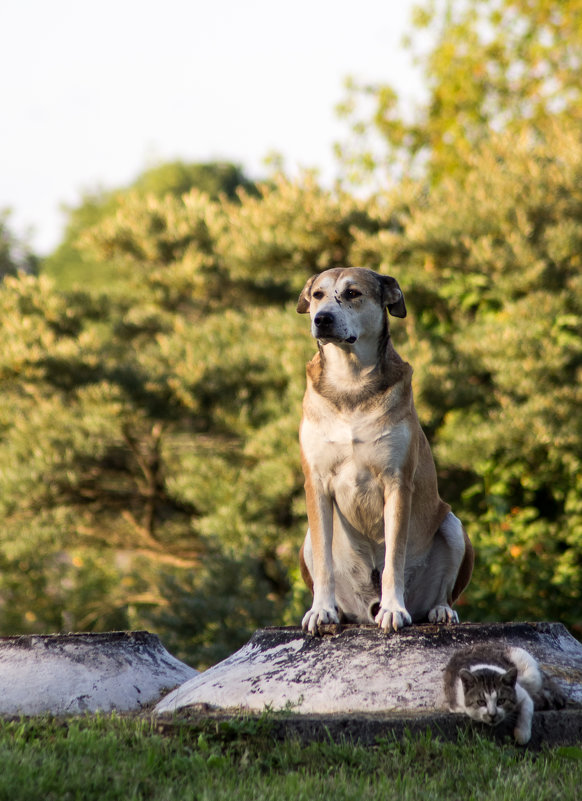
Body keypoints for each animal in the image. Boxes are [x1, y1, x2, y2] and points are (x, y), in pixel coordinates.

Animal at [296, 268, 474, 632]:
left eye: (352, 293)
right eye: (317, 295)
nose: (322, 319)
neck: (349, 382)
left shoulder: (397, 482)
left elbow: (394, 556)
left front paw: (394, 609)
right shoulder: (316, 483)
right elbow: (323, 560)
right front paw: (321, 610)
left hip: (452, 524)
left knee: (446, 590)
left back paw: (439, 610)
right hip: (306, 540)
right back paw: (338, 610)